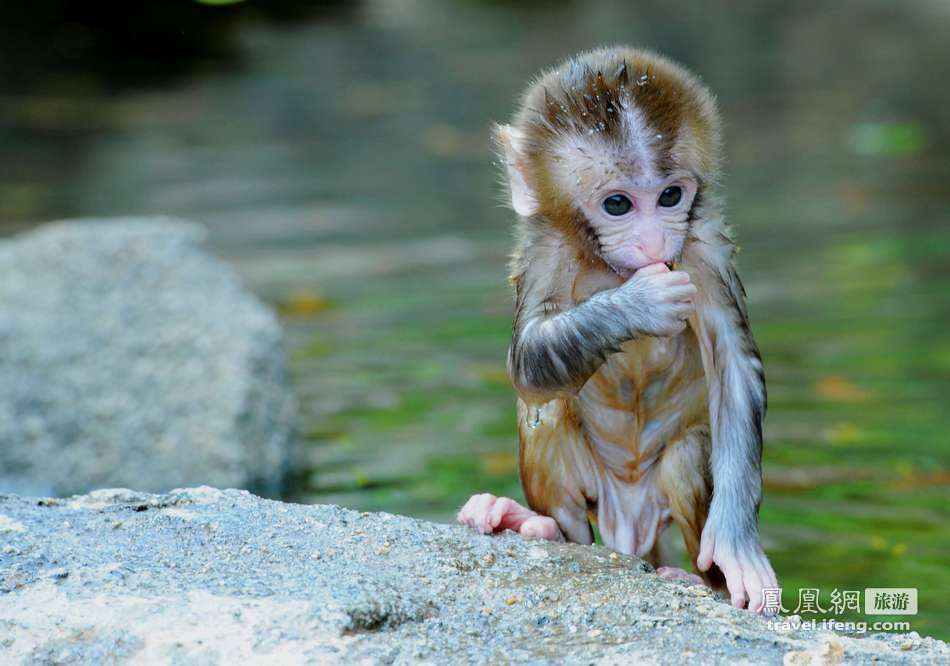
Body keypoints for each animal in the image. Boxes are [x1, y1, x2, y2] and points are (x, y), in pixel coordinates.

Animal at [462, 45, 780, 608]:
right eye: (617, 204)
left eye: (671, 196)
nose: (654, 243)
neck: (608, 265)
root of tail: (628, 528)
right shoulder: (545, 250)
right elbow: (527, 363)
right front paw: (641, 302)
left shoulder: (704, 245)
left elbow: (735, 365)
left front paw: (736, 545)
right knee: (545, 414)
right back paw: (538, 525)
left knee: (686, 457)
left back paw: (701, 579)